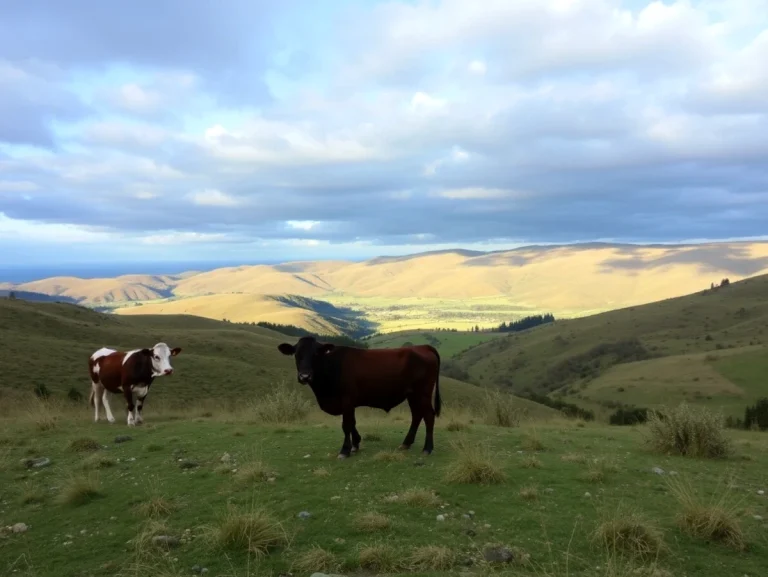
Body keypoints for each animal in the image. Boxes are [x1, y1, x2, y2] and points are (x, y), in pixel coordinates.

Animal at [277, 336, 441, 459]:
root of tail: (423, 347)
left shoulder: (347, 399)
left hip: (423, 393)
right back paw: (406, 443)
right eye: (296, 354)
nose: (305, 376)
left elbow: (346, 424)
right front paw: (355, 444)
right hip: (412, 395)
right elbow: (352, 423)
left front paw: (345, 450)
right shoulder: (350, 403)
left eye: (316, 354)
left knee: (428, 416)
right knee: (417, 416)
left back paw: (427, 448)